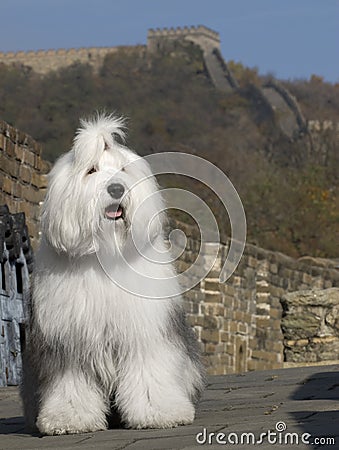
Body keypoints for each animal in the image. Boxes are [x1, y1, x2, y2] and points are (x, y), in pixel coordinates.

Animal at [23, 114, 207, 434]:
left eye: (123, 169)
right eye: (91, 170)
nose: (117, 189)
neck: (105, 253)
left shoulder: (144, 329)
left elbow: (150, 370)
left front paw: (159, 412)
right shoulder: (68, 337)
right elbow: (70, 381)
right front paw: (69, 419)